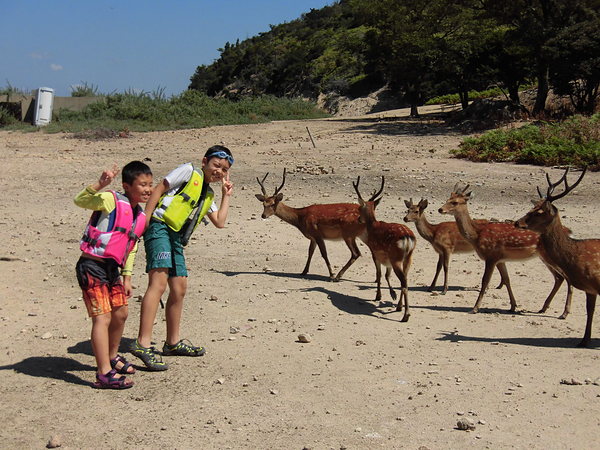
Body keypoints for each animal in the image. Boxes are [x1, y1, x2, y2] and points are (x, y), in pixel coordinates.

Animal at [354, 176, 414, 320]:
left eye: (359, 209)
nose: (358, 219)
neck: (372, 227)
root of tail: (408, 238)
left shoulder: (374, 251)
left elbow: (379, 274)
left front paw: (378, 296)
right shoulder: (386, 258)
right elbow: (387, 275)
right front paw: (392, 294)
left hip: (396, 257)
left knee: (403, 281)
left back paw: (406, 315)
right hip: (408, 258)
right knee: (405, 280)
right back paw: (399, 307)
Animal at [438, 183, 568, 312]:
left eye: (455, 202)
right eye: (447, 199)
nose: (440, 209)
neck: (477, 235)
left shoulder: (491, 256)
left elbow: (485, 280)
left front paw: (475, 308)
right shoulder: (500, 260)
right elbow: (507, 279)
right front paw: (513, 306)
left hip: (549, 256)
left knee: (564, 277)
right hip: (544, 256)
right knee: (559, 278)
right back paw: (545, 307)